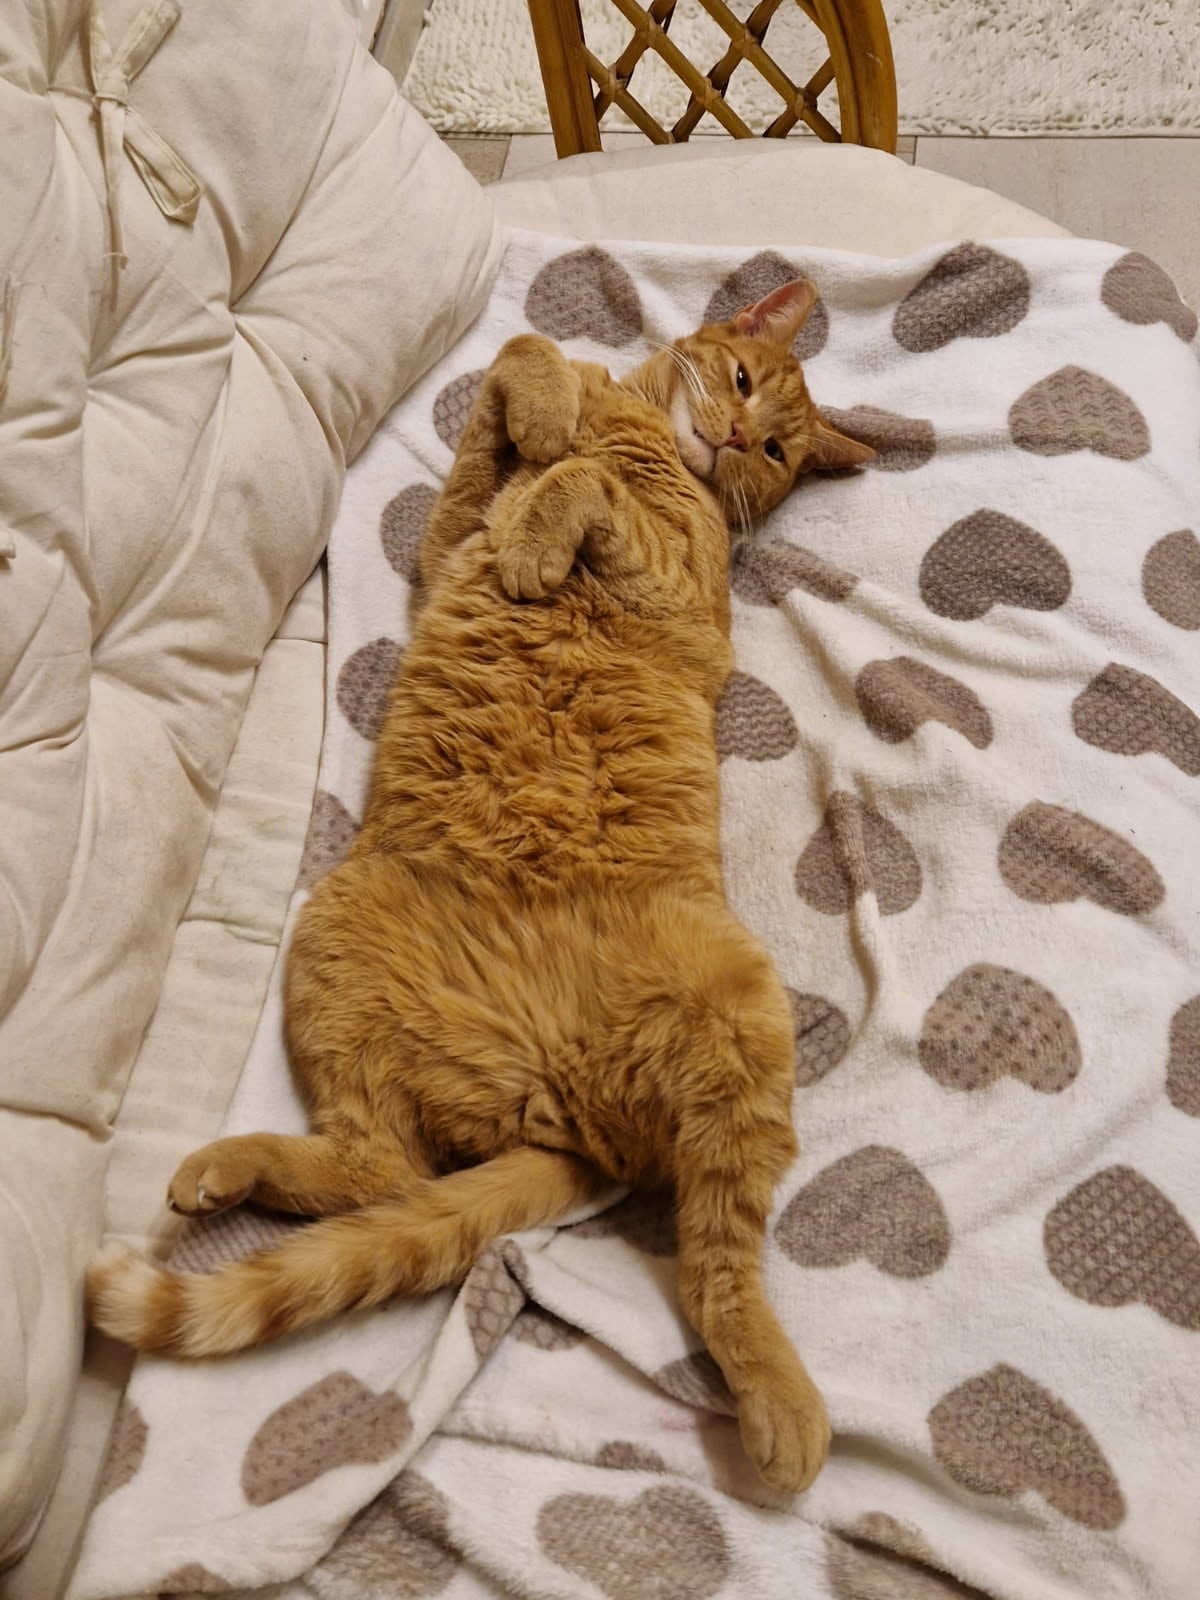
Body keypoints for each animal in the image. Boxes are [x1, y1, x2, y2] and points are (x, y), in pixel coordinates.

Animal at [89, 278, 873, 1494]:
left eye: (779, 451)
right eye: (745, 385)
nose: (740, 440)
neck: (655, 438)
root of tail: (562, 1111)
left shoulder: (678, 593)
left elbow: (584, 486)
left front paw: (547, 523)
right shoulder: (447, 536)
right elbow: (525, 365)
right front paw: (545, 426)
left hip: (742, 1016)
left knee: (712, 1269)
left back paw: (782, 1411)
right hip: (340, 939)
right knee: (382, 1169)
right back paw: (224, 1171)